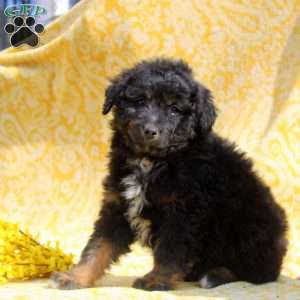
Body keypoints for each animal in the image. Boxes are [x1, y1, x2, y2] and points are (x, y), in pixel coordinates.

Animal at [50, 58, 288, 290]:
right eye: (140, 101)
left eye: (174, 109)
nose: (150, 131)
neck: (151, 162)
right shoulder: (117, 205)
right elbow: (98, 246)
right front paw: (75, 277)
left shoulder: (182, 212)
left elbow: (169, 251)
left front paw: (156, 280)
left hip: (250, 228)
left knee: (257, 274)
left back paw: (214, 275)